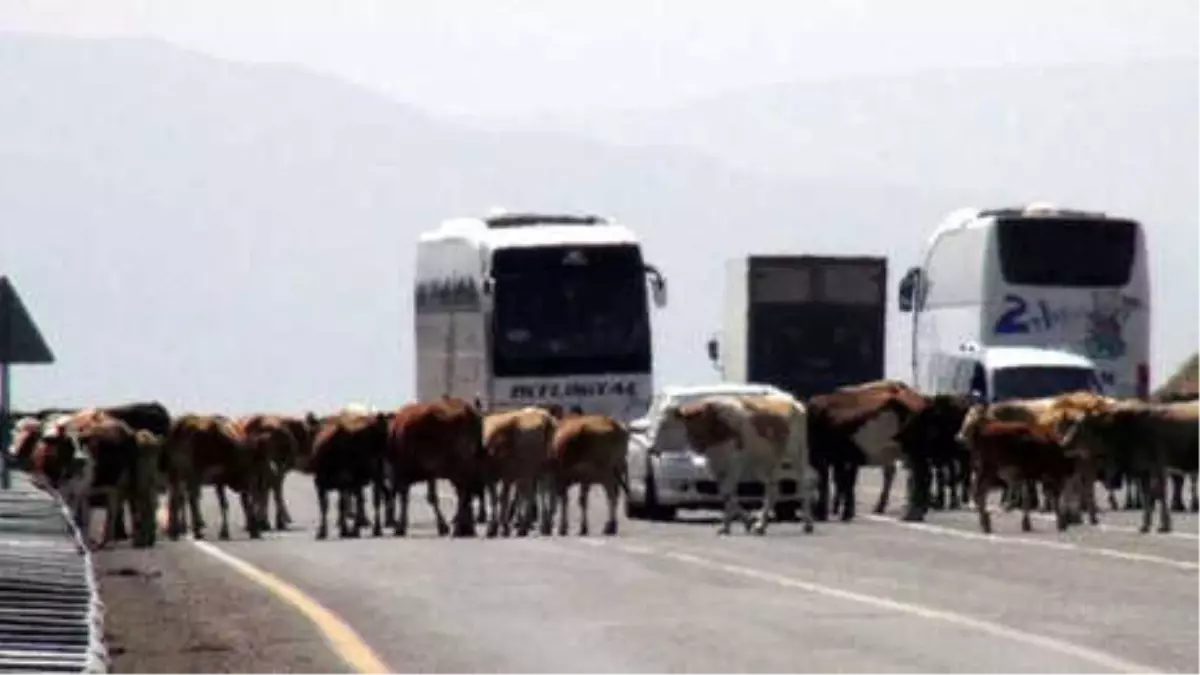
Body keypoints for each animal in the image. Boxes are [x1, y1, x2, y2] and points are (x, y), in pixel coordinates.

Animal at [388, 393, 482, 535]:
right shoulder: (428, 472)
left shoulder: (421, 469)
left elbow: (424, 496)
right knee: (464, 491)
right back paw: (463, 527)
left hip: (457, 464)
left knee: (463, 490)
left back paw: (459, 527)